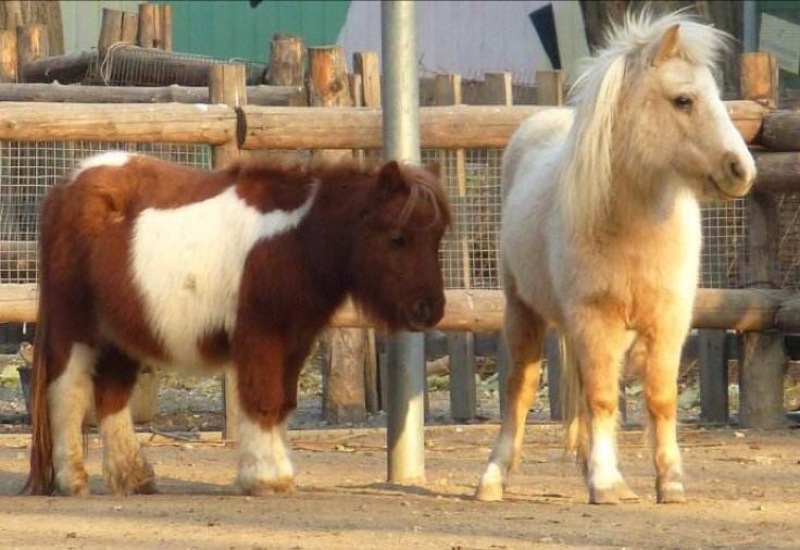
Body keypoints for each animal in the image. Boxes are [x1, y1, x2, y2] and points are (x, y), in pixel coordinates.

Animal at [23, 152, 450, 496]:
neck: (296, 241)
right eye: (397, 237)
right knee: (68, 391)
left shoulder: (294, 341)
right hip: (76, 326)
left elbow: (282, 403)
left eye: (437, 237)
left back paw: (133, 477)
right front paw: (265, 477)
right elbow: (262, 400)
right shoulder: (260, 336)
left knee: (111, 395)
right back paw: (73, 479)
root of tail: (64, 187)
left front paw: (274, 473)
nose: (429, 310)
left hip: (121, 334)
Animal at [476, 11, 755, 504]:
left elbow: (659, 398)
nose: (741, 170)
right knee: (520, 391)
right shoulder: (595, 318)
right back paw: (494, 477)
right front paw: (607, 483)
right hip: (523, 310)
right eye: (683, 100)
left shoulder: (668, 322)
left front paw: (670, 482)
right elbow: (603, 398)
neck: (632, 226)